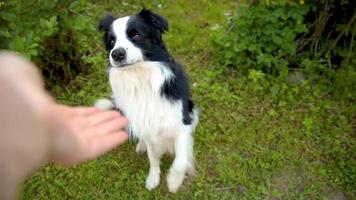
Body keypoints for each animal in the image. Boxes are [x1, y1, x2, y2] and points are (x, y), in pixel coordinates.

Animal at [96, 9, 199, 192]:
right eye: (112, 41)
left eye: (136, 35)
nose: (116, 54)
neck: (140, 78)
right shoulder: (147, 126)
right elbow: (153, 157)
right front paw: (153, 178)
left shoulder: (181, 123)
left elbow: (181, 159)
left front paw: (173, 181)